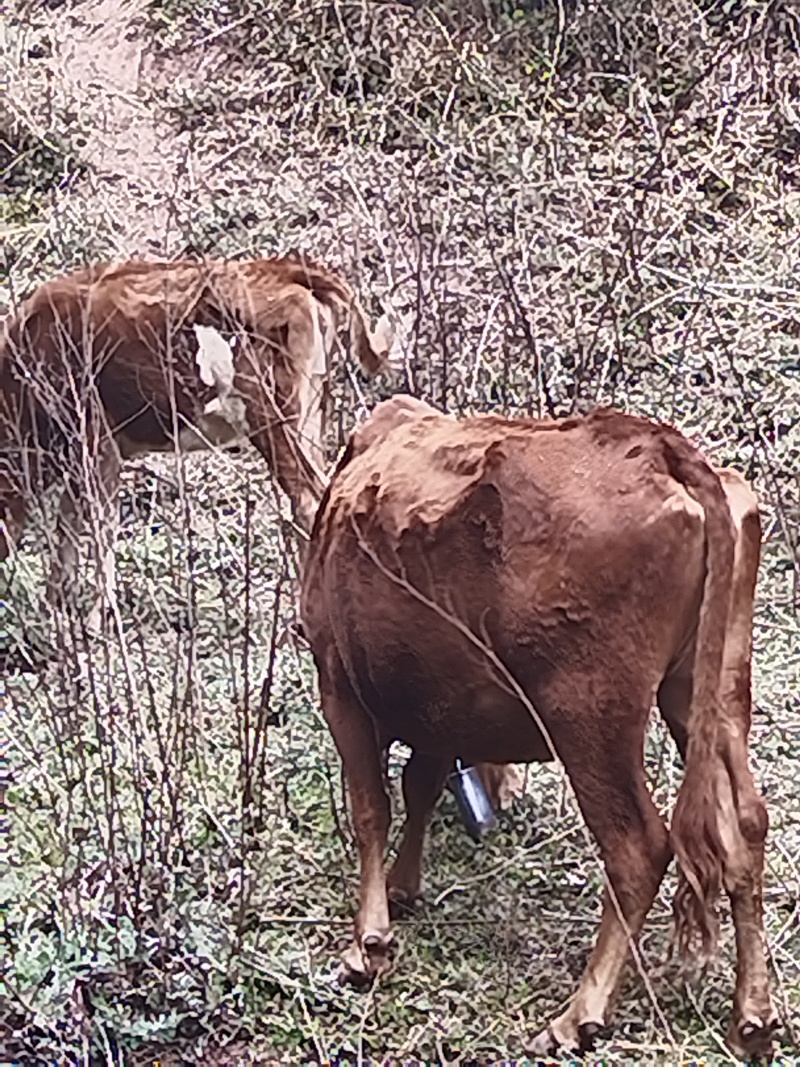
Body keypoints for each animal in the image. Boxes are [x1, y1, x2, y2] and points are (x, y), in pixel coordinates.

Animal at [0, 253, 398, 627]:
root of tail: (282, 266)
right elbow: (66, 529)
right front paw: (55, 611)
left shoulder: (97, 441)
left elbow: (100, 528)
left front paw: (96, 620)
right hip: (311, 414)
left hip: (273, 417)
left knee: (306, 499)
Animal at [300, 396, 776, 1062]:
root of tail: (661, 446)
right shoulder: (443, 707)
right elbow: (420, 786)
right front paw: (402, 887)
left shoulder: (338, 682)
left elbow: (371, 806)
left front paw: (367, 943)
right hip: (709, 692)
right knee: (744, 828)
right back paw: (754, 1015)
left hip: (587, 714)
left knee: (639, 847)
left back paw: (579, 1015)